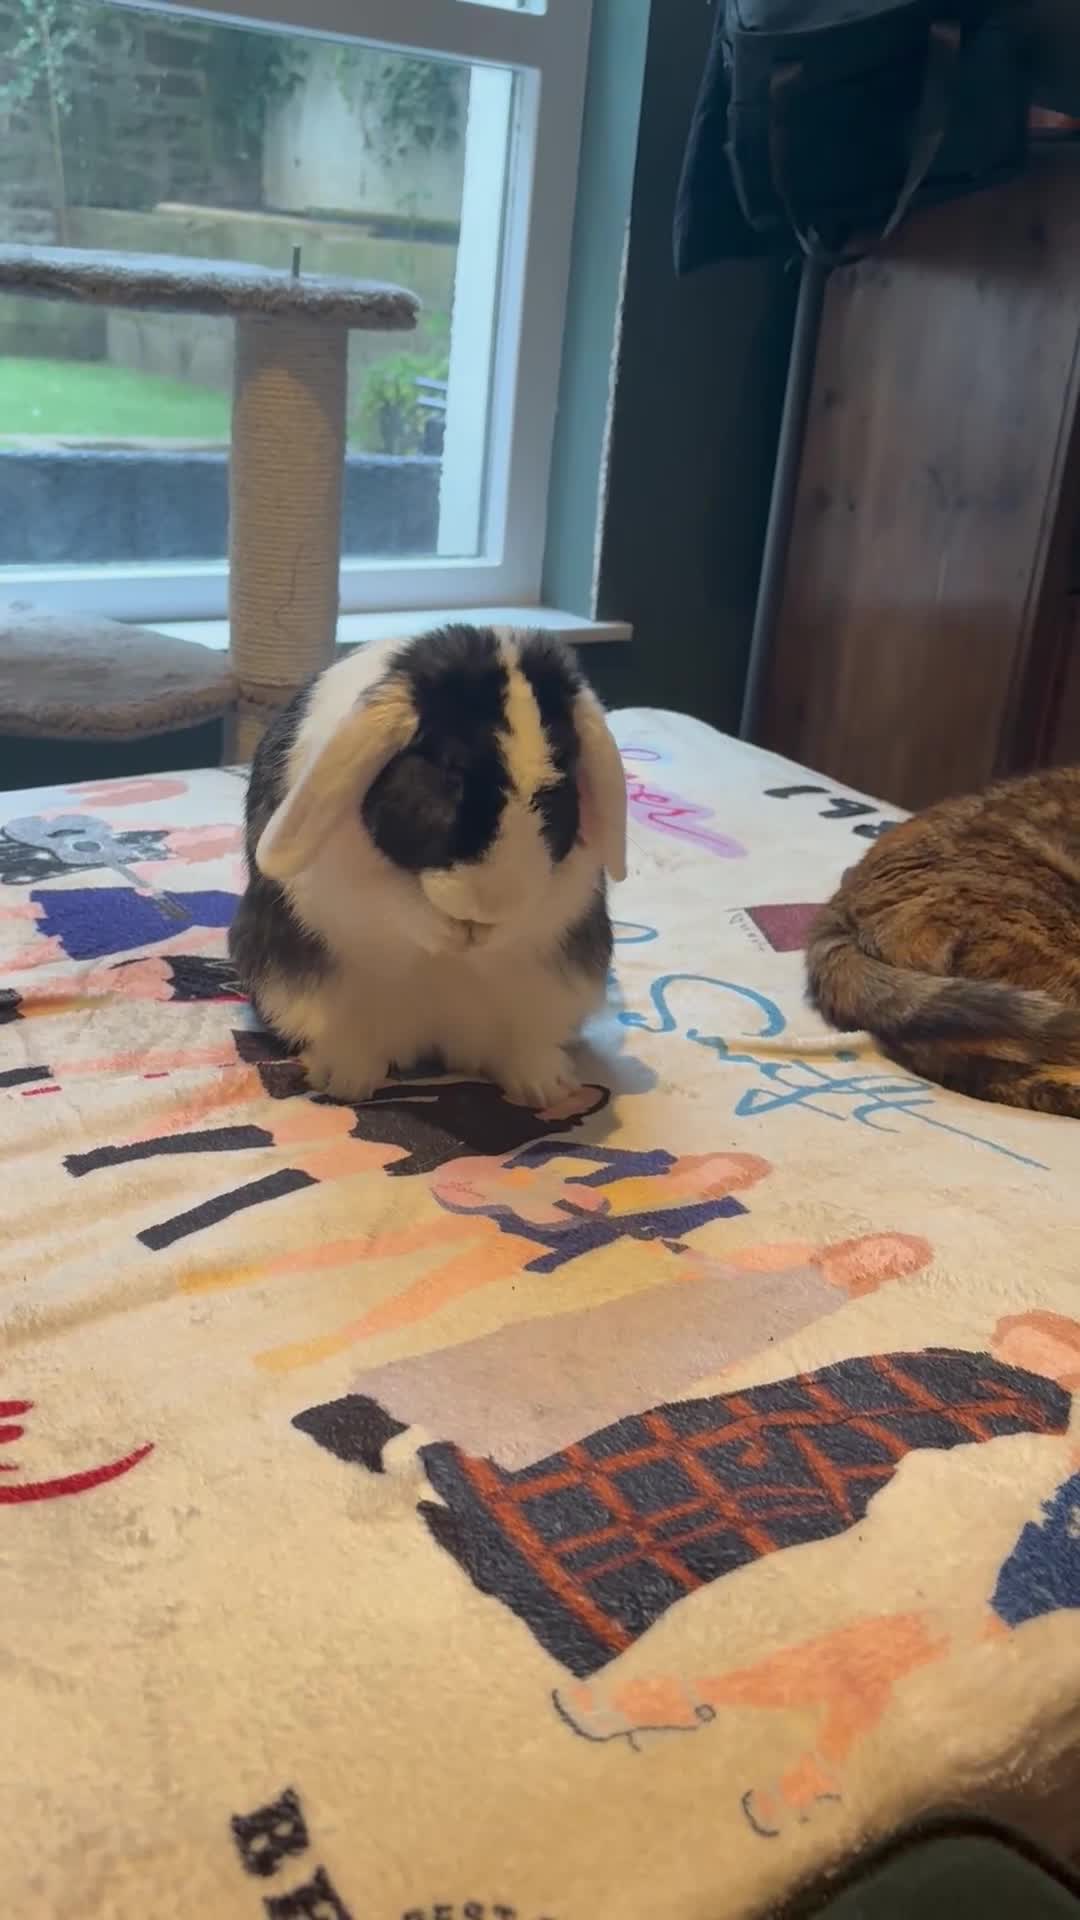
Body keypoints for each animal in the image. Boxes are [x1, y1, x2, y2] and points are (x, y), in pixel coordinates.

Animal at [228, 623, 628, 1108]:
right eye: (448, 767)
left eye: (560, 775)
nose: (485, 913)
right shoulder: (360, 888)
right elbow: (400, 907)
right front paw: (449, 930)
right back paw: (344, 1080)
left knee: (519, 1043)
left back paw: (543, 1087)